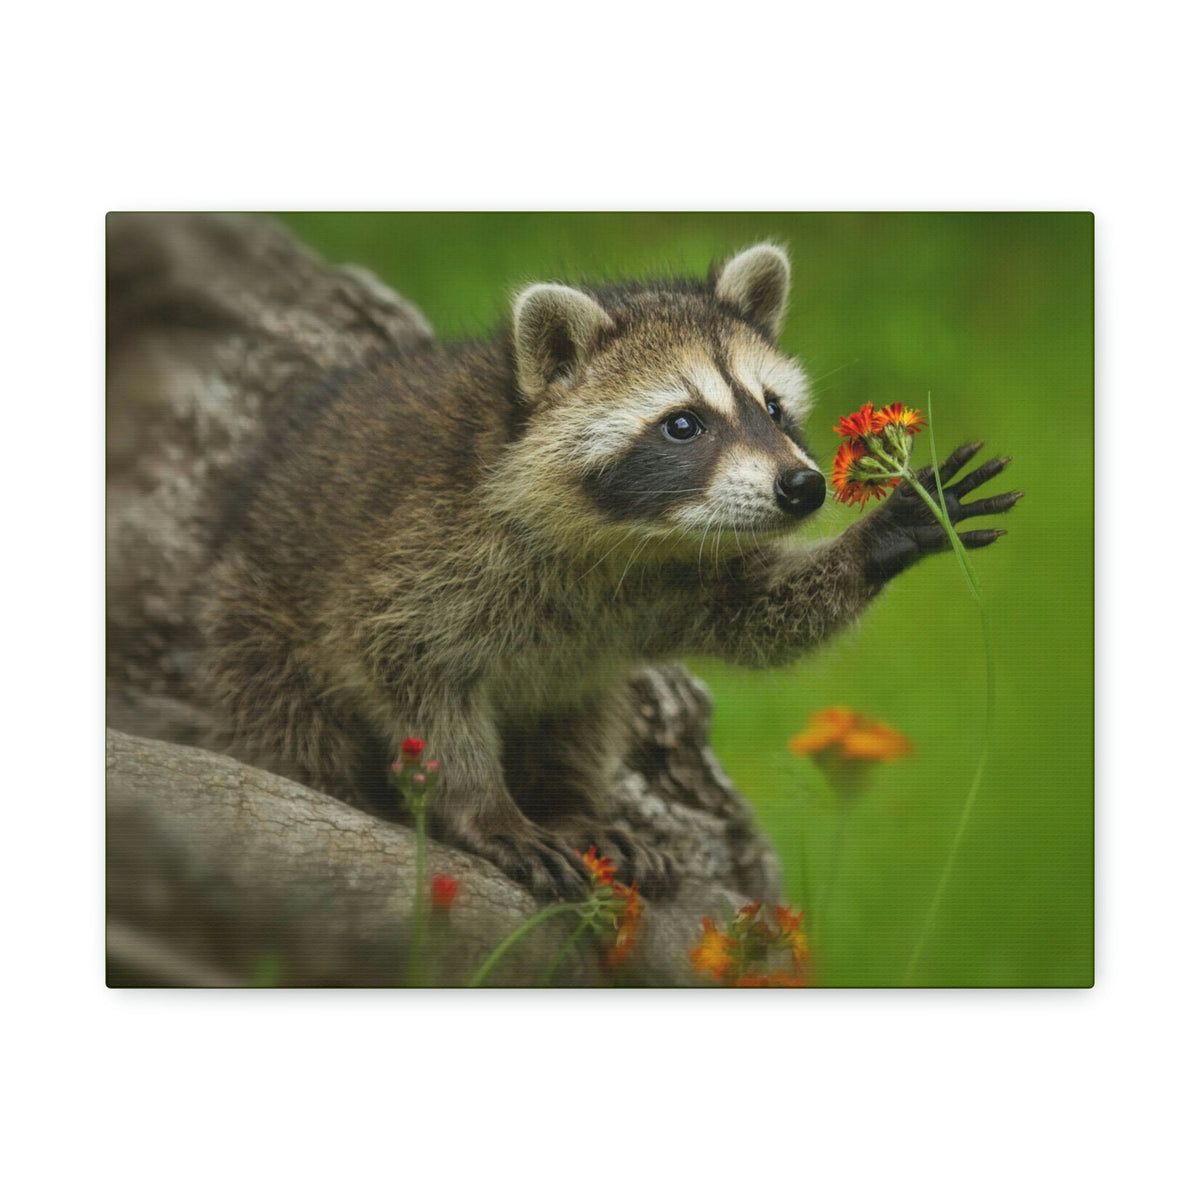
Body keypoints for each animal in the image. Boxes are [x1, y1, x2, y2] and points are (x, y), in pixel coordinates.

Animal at [205, 243, 1018, 899]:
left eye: (773, 409)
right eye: (683, 424)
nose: (804, 488)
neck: (624, 539)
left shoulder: (675, 577)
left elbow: (760, 613)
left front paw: (879, 537)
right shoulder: (413, 561)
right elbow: (418, 687)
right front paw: (483, 807)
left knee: (581, 712)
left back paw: (569, 804)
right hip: (254, 629)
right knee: (294, 730)